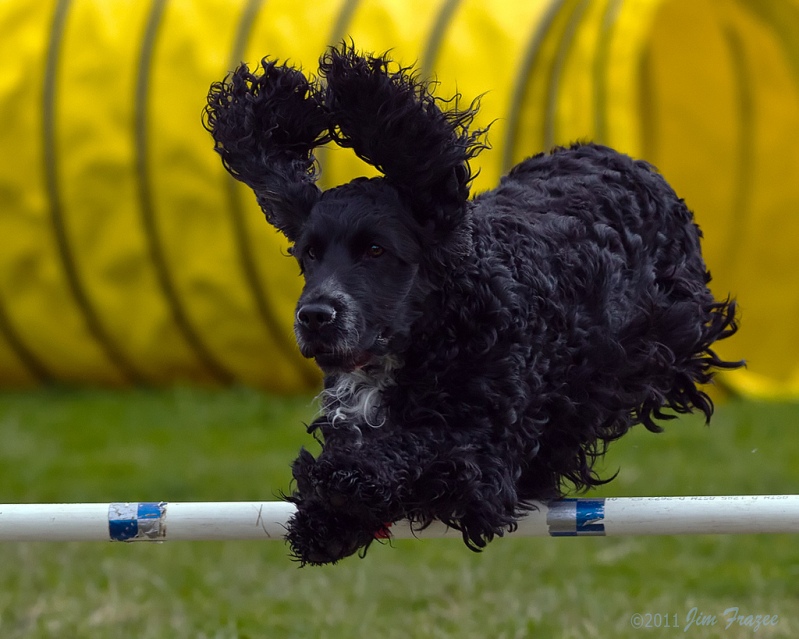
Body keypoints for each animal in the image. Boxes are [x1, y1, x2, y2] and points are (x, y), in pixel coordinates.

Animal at [203, 43, 740, 564]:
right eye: (309, 253)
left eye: (376, 250)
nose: (315, 316)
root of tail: (613, 154)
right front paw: (323, 522)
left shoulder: (486, 451)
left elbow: (423, 448)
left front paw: (343, 480)